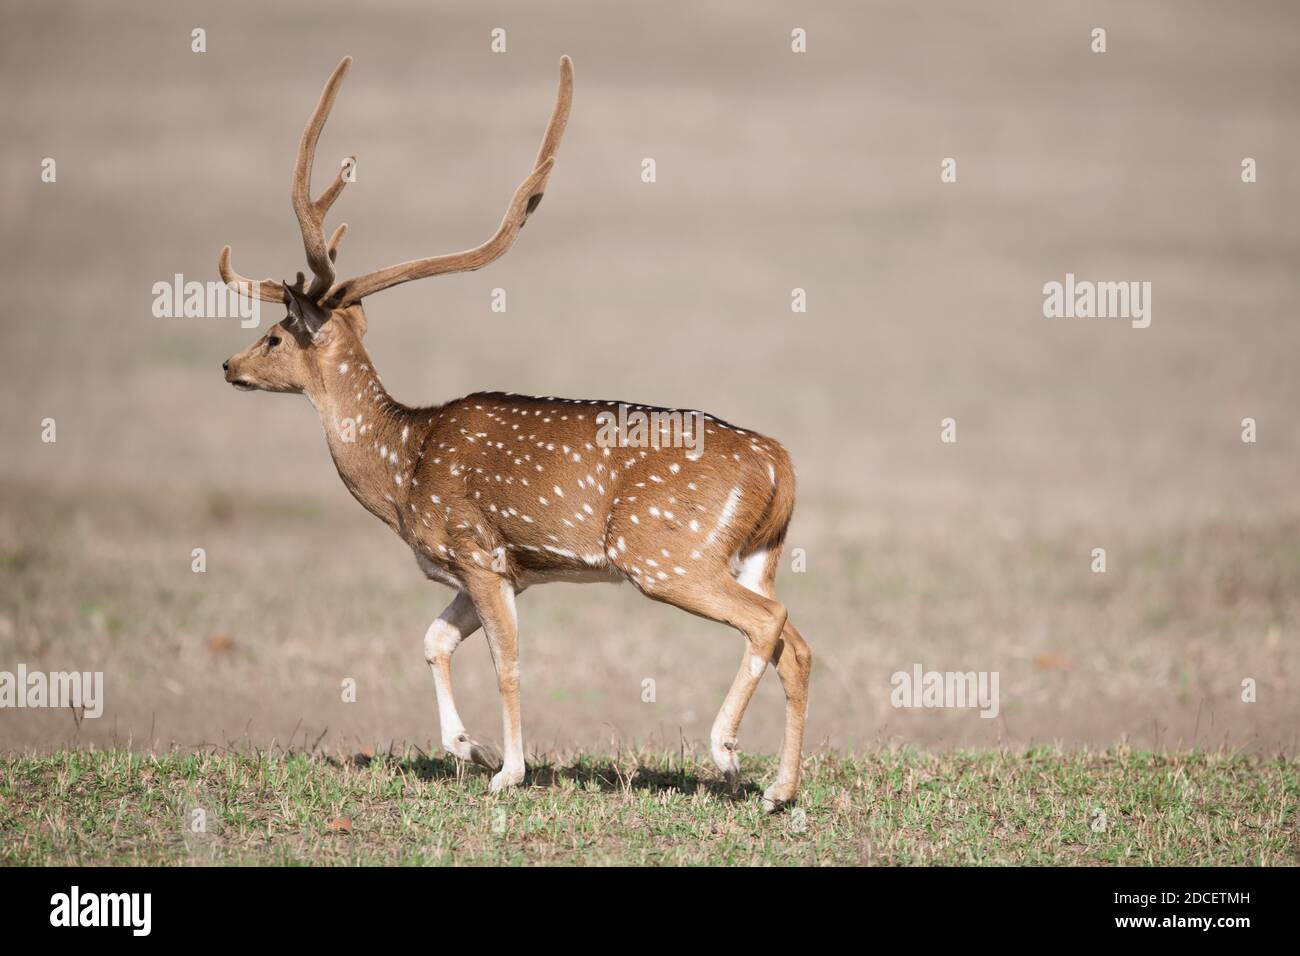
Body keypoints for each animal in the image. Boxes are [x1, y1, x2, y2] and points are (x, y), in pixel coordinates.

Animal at [218, 55, 812, 811]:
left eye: (272, 335)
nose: (228, 364)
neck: (403, 466)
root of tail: (779, 463)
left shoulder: (477, 549)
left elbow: (506, 662)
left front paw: (509, 770)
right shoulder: (511, 571)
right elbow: (435, 639)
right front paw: (467, 748)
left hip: (666, 555)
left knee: (768, 623)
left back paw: (728, 754)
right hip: (759, 551)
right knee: (796, 642)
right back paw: (778, 788)